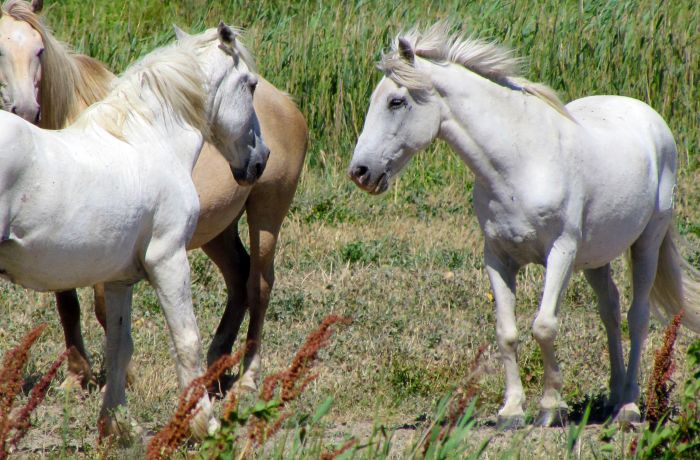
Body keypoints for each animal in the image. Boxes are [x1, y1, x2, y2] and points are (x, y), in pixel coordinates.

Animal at [0, 0, 306, 392]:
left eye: (39, 51)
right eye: (248, 84)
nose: (260, 158)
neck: (143, 138)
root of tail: (286, 101)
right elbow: (76, 308)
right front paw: (81, 378)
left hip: (265, 214)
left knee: (258, 286)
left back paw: (246, 378)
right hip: (221, 231)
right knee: (241, 279)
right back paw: (218, 367)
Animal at [350, 23, 700, 428]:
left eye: (396, 102)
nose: (360, 172)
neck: (520, 163)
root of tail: (650, 118)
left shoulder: (561, 252)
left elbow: (544, 326)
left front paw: (550, 407)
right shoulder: (497, 258)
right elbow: (507, 332)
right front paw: (512, 410)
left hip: (646, 242)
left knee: (637, 317)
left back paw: (628, 406)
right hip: (595, 257)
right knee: (610, 312)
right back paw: (613, 398)